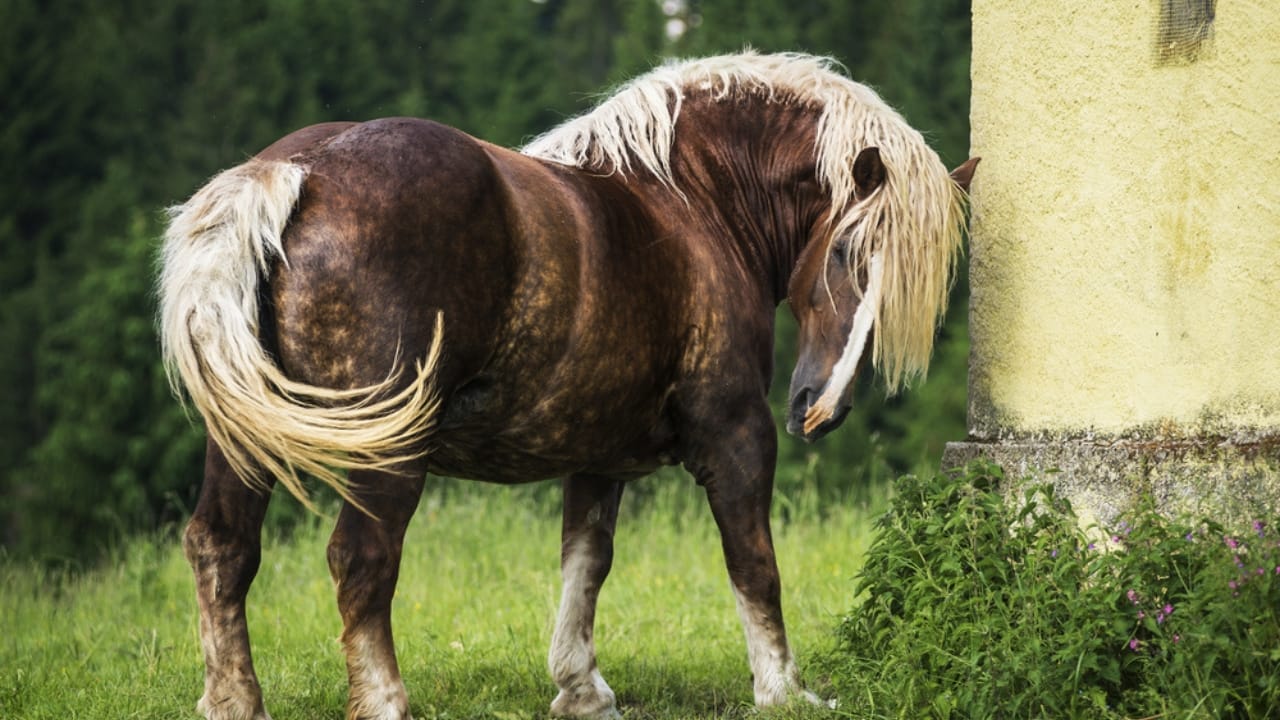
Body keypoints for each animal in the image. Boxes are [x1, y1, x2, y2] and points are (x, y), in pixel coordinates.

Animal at [160, 51, 978, 720]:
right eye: (847, 252)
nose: (821, 410)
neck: (691, 201)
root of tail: (304, 170)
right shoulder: (735, 435)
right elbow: (754, 563)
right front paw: (784, 689)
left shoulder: (598, 452)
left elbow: (585, 563)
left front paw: (581, 688)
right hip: (388, 452)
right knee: (360, 560)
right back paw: (385, 701)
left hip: (244, 442)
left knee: (221, 548)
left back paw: (234, 701)